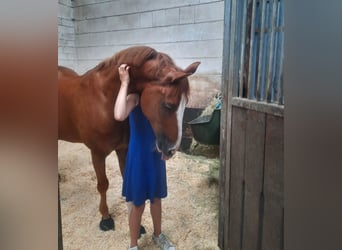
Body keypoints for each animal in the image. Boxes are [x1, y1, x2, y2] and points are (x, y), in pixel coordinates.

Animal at [57, 45, 199, 230]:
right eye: (168, 105)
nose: (172, 149)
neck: (105, 100)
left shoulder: (123, 149)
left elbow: (127, 181)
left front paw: (136, 224)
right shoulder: (97, 153)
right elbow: (103, 185)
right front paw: (105, 217)